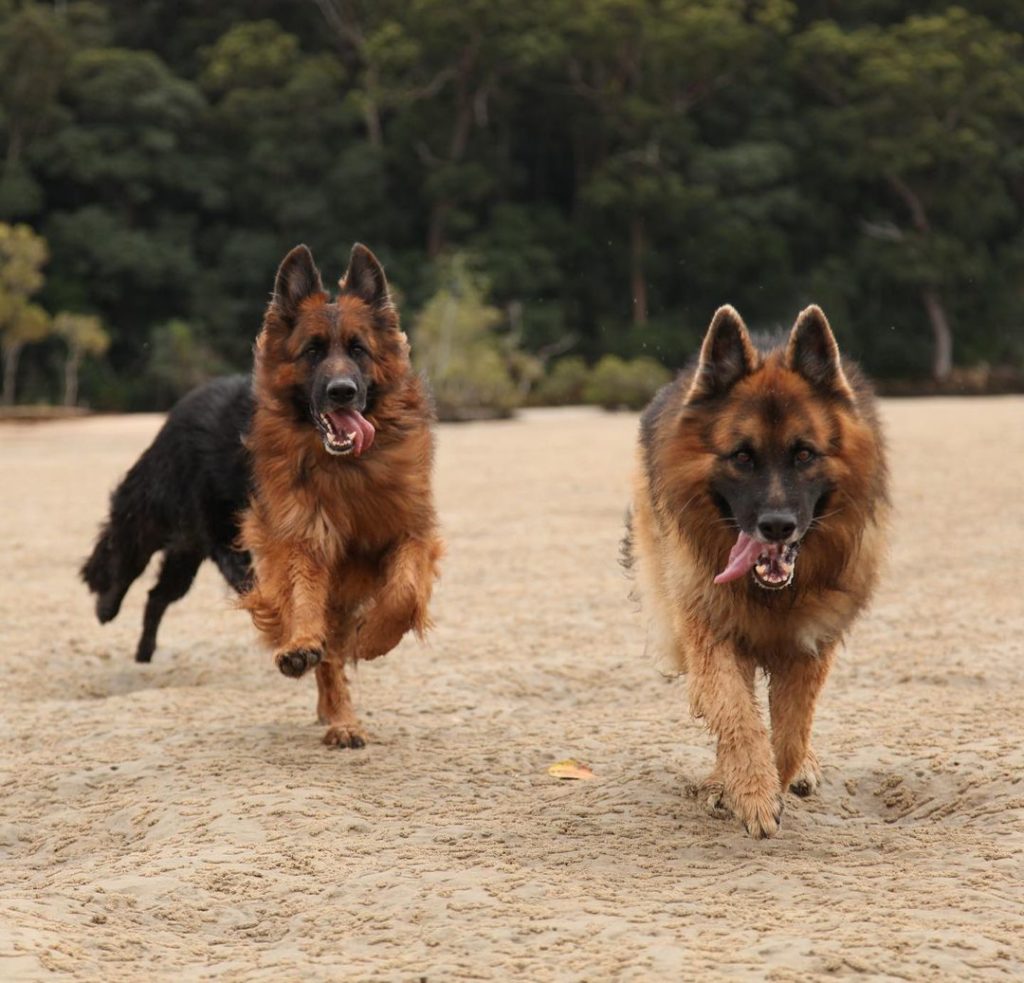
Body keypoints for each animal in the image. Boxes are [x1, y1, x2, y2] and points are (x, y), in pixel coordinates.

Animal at [80, 372, 253, 663]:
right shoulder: (225, 532)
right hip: (152, 517)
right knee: (121, 559)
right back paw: (105, 608)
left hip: (187, 551)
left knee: (157, 595)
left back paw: (144, 653)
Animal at [242, 243, 444, 745]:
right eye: (313, 351)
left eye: (358, 349)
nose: (342, 392)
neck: (347, 471)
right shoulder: (305, 538)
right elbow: (304, 600)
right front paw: (300, 646)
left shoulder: (412, 533)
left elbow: (404, 594)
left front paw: (372, 638)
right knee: (329, 656)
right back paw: (340, 719)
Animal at [622, 305, 888, 835]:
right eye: (742, 456)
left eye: (804, 454)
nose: (777, 526)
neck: (770, 593)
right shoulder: (712, 634)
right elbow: (736, 715)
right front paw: (748, 793)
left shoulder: (809, 647)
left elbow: (789, 733)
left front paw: (768, 781)